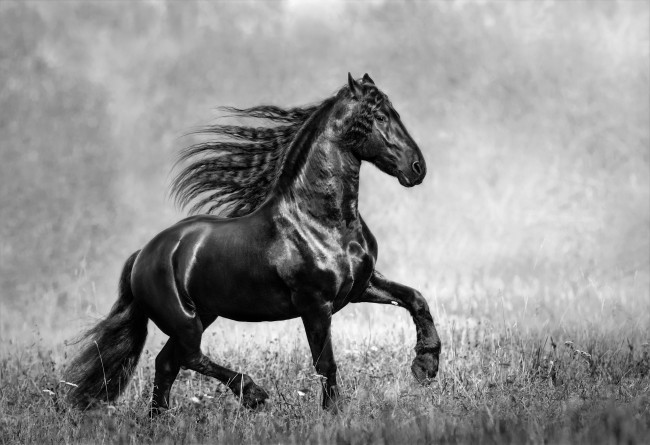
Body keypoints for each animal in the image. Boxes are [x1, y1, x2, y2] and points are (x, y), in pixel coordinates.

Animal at [65, 73, 442, 413]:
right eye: (379, 117)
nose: (417, 167)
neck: (321, 222)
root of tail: (143, 254)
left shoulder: (361, 286)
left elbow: (415, 299)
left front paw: (426, 366)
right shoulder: (314, 304)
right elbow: (325, 363)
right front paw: (333, 413)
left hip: (203, 313)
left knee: (168, 362)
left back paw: (159, 421)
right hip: (185, 319)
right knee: (187, 355)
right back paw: (252, 394)